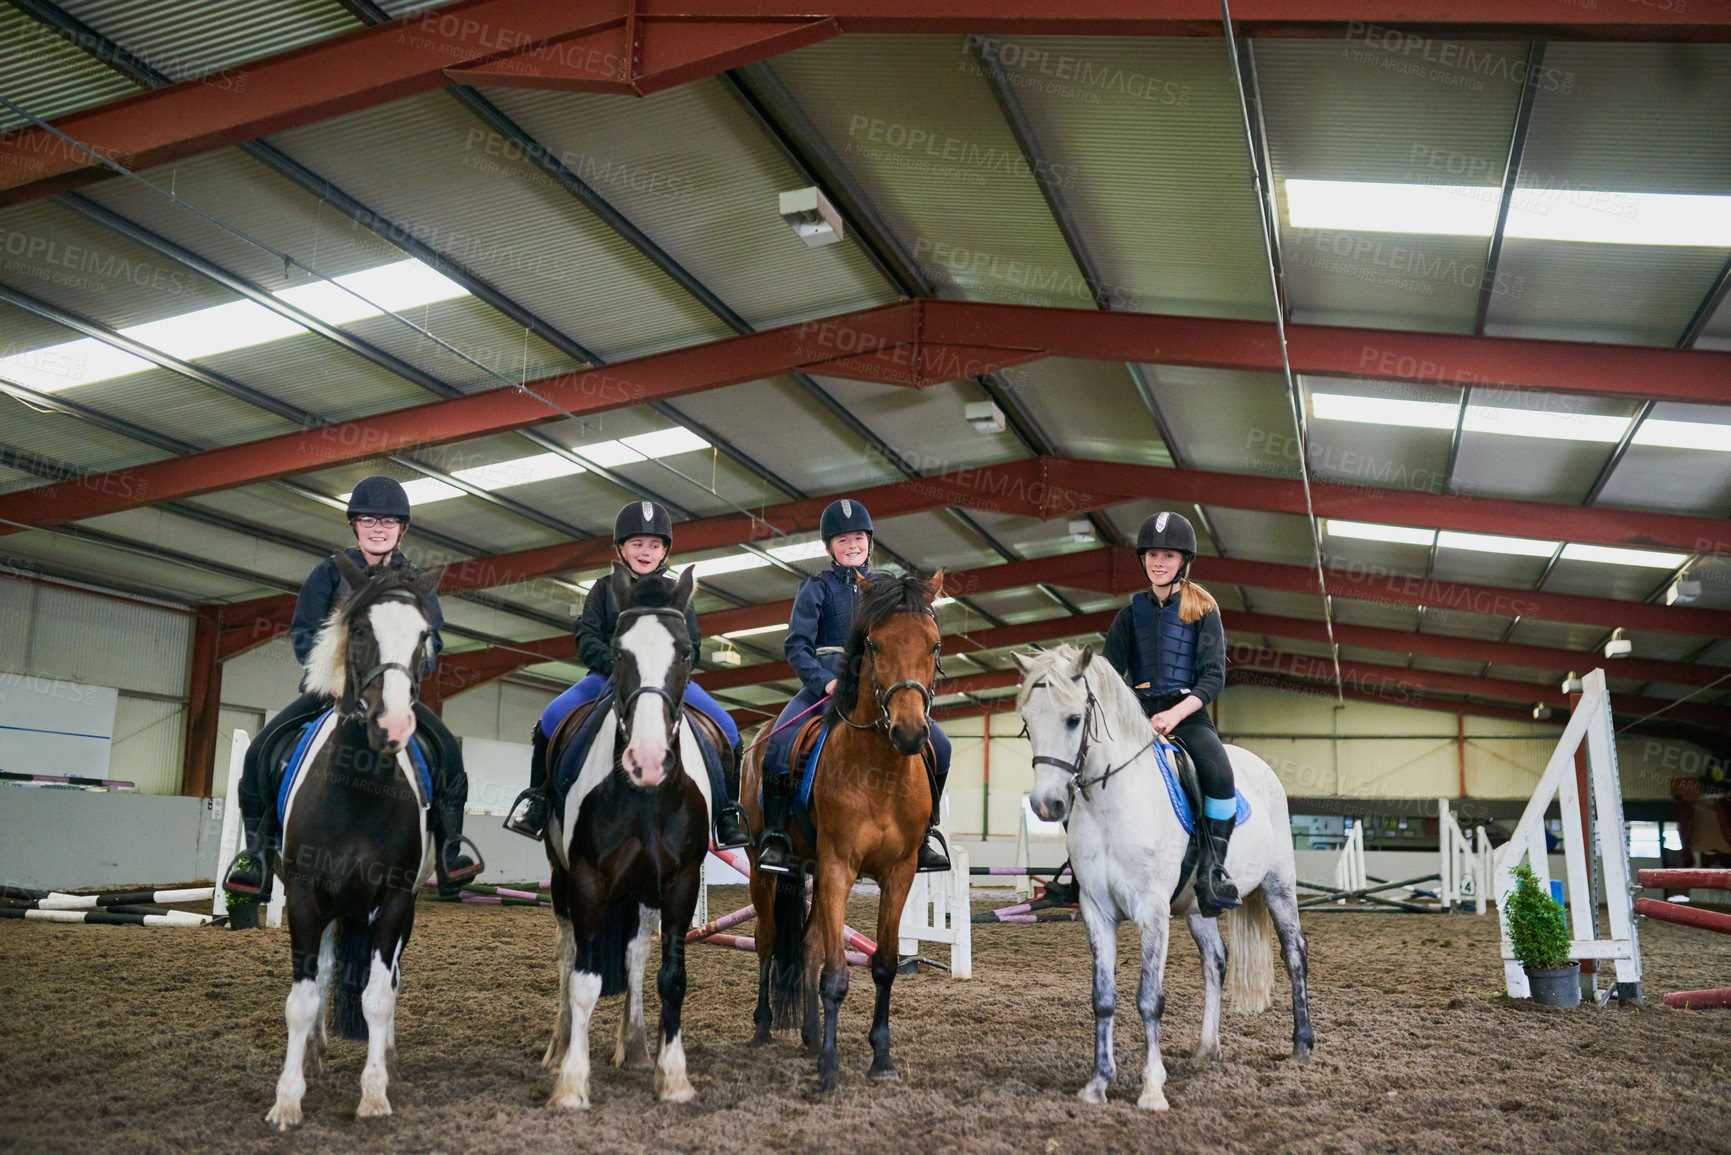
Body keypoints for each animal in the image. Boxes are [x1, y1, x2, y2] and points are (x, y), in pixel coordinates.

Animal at [263, 554, 443, 1135]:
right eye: (360, 631)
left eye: (423, 637)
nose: (393, 725)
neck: (358, 789)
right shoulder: (303, 896)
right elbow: (301, 999)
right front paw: (287, 1101)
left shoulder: (394, 902)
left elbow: (378, 998)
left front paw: (374, 1093)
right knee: (319, 973)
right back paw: (313, 1053)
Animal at [536, 564, 706, 1108]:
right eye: (615, 651)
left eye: (686, 652)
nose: (647, 761)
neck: (645, 798)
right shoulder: (587, 878)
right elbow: (584, 981)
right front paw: (572, 1082)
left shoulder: (680, 882)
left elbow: (671, 977)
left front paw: (673, 1076)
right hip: (562, 880)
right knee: (568, 955)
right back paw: (558, 1048)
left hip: (642, 892)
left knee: (635, 955)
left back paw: (634, 1048)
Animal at [733, 567, 941, 1094]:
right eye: (876, 644)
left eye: (933, 644)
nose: (910, 732)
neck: (880, 770)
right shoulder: (838, 868)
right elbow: (835, 973)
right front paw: (829, 1068)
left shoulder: (899, 873)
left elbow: (883, 965)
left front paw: (881, 1058)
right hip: (764, 869)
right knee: (768, 940)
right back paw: (764, 1027)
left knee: (805, 945)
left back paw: (809, 1033)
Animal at [1010, 647, 1308, 1115]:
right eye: (1027, 722)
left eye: (1074, 719)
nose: (1046, 805)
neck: (1112, 804)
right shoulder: (1096, 911)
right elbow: (1103, 998)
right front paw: (1097, 1084)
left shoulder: (1152, 911)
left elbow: (1150, 998)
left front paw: (1151, 1090)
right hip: (1199, 906)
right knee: (1216, 960)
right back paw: (1207, 1047)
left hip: (1279, 885)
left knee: (1295, 953)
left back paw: (1302, 1045)